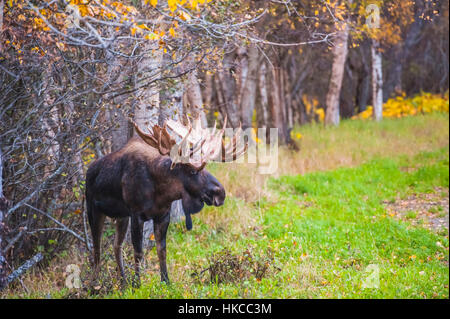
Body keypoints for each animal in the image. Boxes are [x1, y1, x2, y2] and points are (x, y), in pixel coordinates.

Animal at [84, 117, 246, 284]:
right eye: (193, 171)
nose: (221, 193)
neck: (160, 193)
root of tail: (89, 171)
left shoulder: (162, 215)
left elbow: (162, 250)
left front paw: (166, 281)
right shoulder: (136, 214)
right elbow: (138, 252)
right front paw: (137, 283)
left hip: (121, 216)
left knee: (117, 245)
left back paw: (123, 281)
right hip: (93, 209)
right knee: (97, 248)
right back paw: (95, 283)